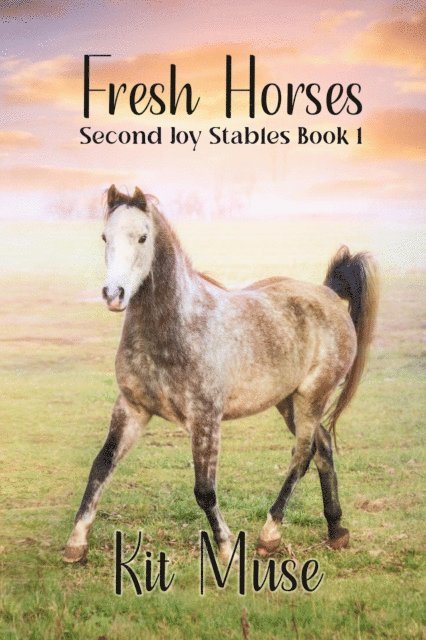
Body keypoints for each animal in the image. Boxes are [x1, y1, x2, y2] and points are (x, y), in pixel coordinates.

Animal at [63, 185, 378, 564]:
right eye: (104, 236)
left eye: (142, 237)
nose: (114, 294)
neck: (175, 327)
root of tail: (329, 294)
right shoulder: (132, 409)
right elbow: (101, 466)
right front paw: (76, 543)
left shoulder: (205, 418)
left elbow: (204, 490)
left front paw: (227, 547)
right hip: (287, 401)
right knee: (323, 449)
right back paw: (335, 531)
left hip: (312, 396)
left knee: (302, 455)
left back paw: (269, 535)